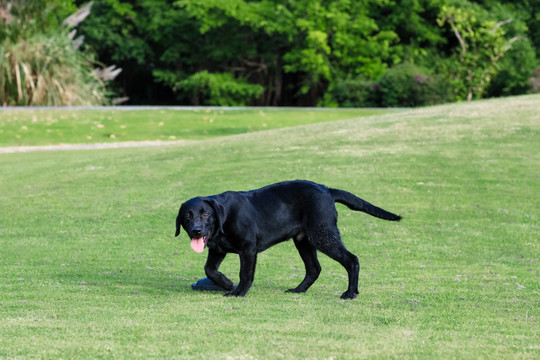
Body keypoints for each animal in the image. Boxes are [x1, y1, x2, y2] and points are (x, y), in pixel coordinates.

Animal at [175, 179, 398, 300]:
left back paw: (350, 293)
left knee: (352, 260)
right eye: (187, 216)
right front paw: (227, 283)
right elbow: (209, 270)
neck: (224, 218)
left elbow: (245, 274)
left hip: (323, 235)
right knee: (314, 269)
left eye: (205, 214)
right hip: (304, 241)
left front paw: (238, 292)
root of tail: (326, 189)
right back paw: (298, 290)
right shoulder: (217, 250)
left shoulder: (248, 248)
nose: (196, 231)